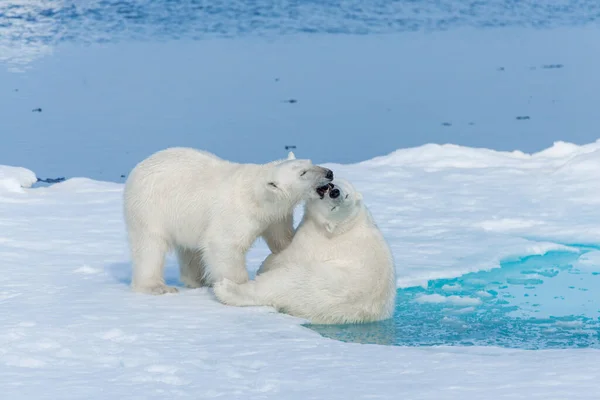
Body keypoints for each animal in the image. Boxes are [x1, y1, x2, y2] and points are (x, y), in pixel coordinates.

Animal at [122, 146, 332, 294]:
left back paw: (198, 280)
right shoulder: (236, 213)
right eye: (302, 173)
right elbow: (223, 245)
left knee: (190, 250)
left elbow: (282, 239)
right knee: (150, 247)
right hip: (149, 209)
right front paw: (238, 285)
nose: (329, 173)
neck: (257, 197)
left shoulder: (276, 217)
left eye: (311, 162)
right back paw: (156, 286)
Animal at [212, 178, 398, 324]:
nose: (334, 192)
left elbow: (286, 255)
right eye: (347, 195)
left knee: (278, 283)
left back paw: (225, 288)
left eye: (335, 207)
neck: (345, 226)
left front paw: (265, 264)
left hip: (313, 282)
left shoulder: (314, 240)